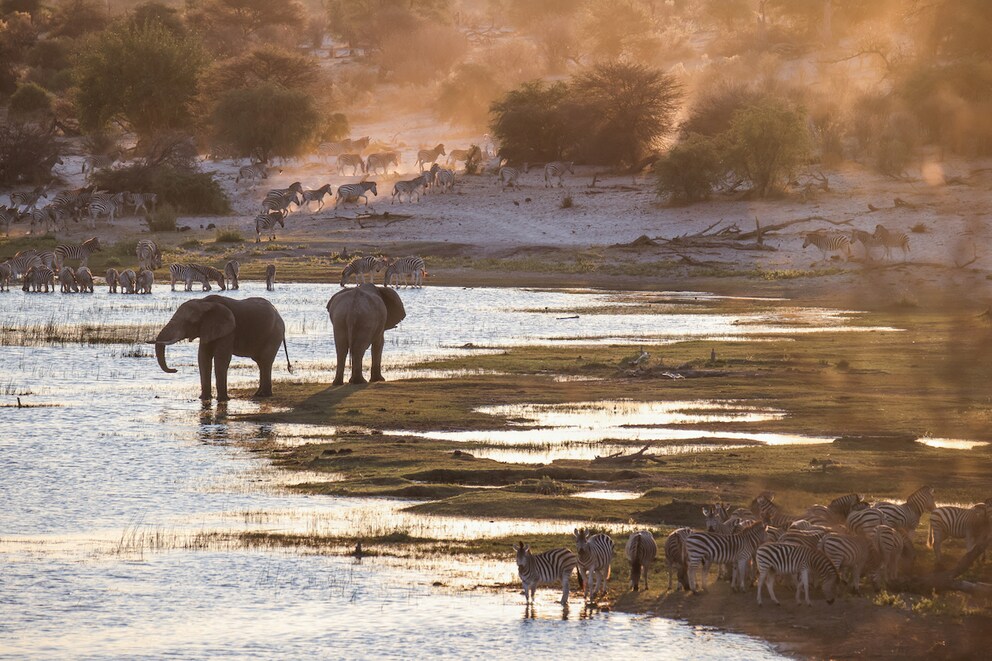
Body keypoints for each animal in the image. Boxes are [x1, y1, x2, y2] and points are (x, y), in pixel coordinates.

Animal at [154, 295, 292, 401]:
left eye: (189, 322)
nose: (175, 370)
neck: (204, 302)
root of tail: (279, 315)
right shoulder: (207, 329)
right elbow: (203, 357)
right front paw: (204, 398)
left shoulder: (229, 330)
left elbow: (221, 358)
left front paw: (222, 399)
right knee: (260, 362)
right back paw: (258, 394)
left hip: (274, 334)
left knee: (265, 361)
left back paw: (264, 395)